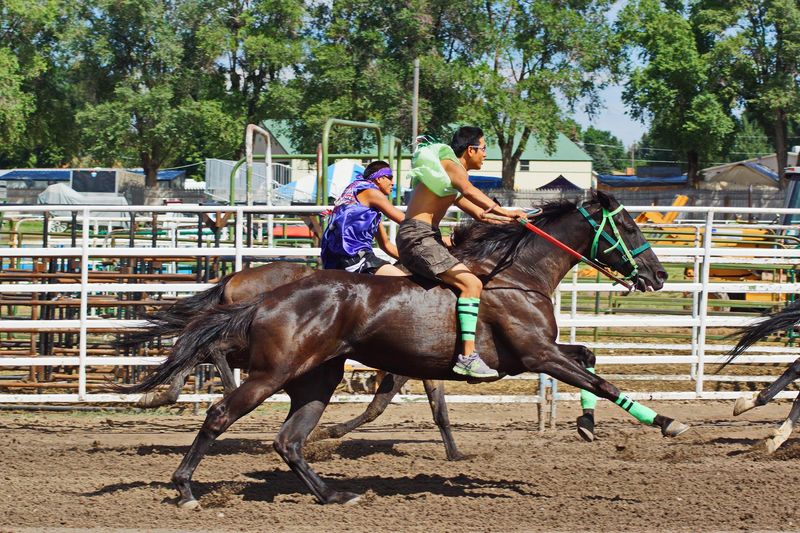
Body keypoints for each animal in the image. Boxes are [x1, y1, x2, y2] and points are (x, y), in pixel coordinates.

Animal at [122, 191, 687, 507]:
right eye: (629, 226)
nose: (659, 275)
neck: (515, 275)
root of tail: (264, 294)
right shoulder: (534, 355)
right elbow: (599, 377)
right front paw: (667, 422)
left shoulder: (536, 352)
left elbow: (588, 357)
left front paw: (587, 425)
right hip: (272, 373)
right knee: (220, 410)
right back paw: (185, 487)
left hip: (317, 378)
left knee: (288, 440)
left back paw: (334, 493)